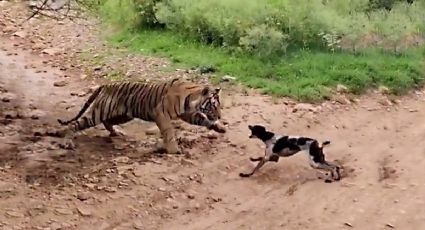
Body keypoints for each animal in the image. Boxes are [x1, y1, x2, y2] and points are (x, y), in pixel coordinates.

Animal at [58, 78, 229, 154]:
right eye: (214, 105)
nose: (220, 116)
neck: (191, 99)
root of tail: (106, 85)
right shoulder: (161, 114)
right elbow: (169, 133)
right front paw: (174, 150)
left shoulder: (188, 114)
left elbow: (203, 120)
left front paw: (219, 128)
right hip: (99, 112)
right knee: (74, 124)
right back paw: (67, 142)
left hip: (123, 115)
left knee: (107, 122)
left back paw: (116, 132)